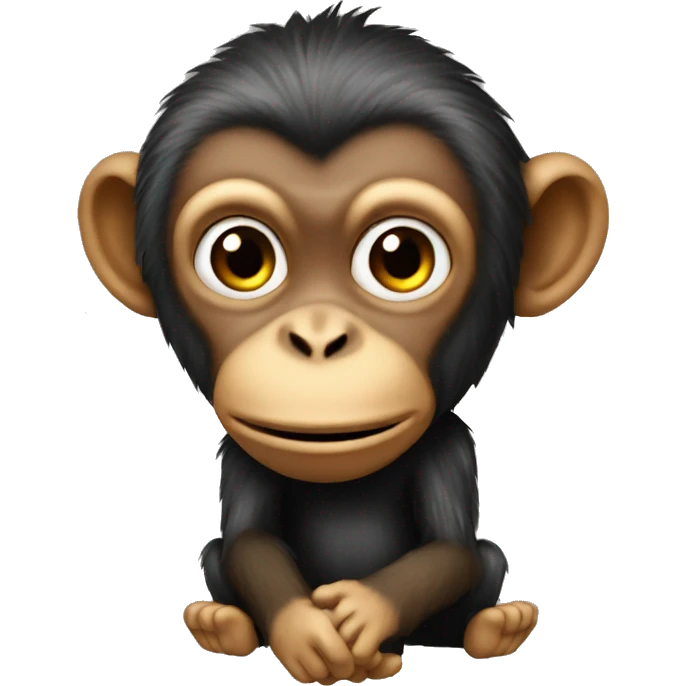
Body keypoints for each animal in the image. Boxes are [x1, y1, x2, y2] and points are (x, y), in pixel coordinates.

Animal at [78, 5, 609, 683]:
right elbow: (249, 543)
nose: (318, 338)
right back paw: (221, 624)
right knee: (218, 556)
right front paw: (304, 628)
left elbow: (450, 551)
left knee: (486, 562)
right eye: (240, 257)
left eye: (401, 258)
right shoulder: (242, 454)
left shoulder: (449, 444)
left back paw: (494, 628)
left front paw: (363, 614)